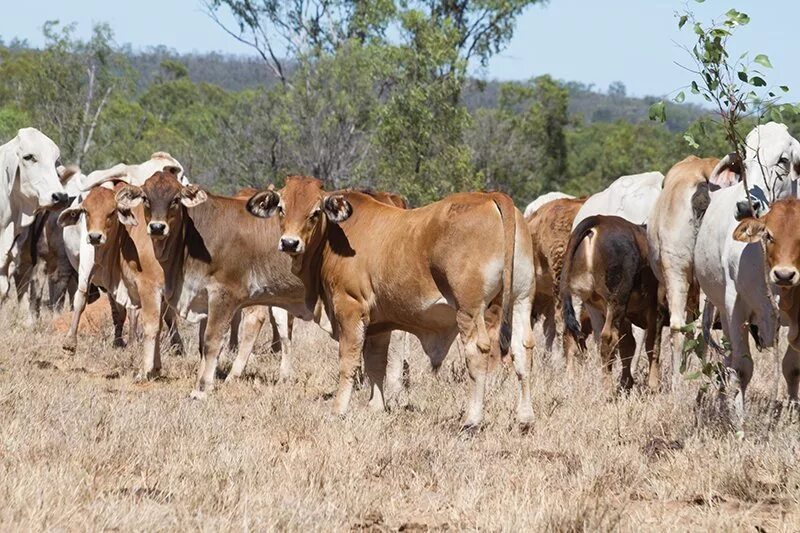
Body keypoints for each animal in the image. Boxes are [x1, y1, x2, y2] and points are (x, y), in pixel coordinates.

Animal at [247, 178, 536, 428]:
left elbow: (348, 362)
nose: (289, 243)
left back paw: (472, 420)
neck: (335, 235)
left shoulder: (349, 308)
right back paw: (525, 418)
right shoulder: (379, 323)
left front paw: (339, 409)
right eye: (282, 208)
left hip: (470, 310)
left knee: (477, 352)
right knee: (523, 350)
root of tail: (491, 197)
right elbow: (376, 363)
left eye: (315, 212)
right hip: (521, 301)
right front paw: (376, 406)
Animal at [692, 122, 800, 426]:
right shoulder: (735, 305)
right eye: (744, 161)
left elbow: (792, 367)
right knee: (727, 363)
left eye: (783, 160)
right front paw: (739, 422)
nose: (744, 207)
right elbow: (742, 367)